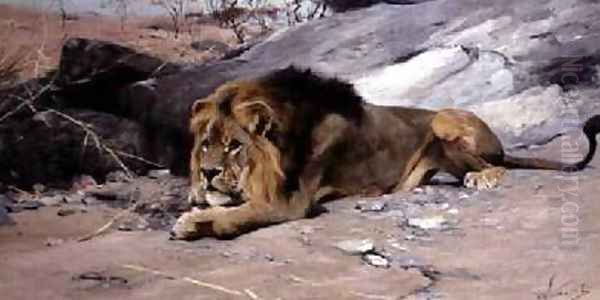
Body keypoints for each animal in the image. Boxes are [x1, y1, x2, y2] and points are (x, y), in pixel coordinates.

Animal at [170, 67, 600, 240]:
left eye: (235, 146)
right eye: (205, 144)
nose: (208, 173)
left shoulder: (291, 201)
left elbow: (237, 214)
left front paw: (192, 222)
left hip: (443, 119)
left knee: (496, 167)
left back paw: (482, 177)